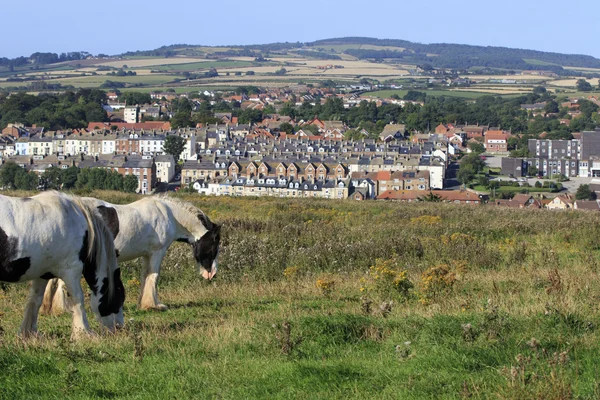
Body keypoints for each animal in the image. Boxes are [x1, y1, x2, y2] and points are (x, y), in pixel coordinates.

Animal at [0, 192, 125, 340]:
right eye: (120, 298)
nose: (119, 328)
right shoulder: (71, 270)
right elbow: (78, 299)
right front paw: (83, 332)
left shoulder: (42, 274)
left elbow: (35, 300)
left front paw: (28, 333)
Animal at [42, 194, 220, 312]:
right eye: (214, 245)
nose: (212, 274)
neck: (168, 214)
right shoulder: (157, 252)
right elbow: (153, 277)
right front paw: (153, 305)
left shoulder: (147, 254)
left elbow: (145, 276)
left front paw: (143, 304)